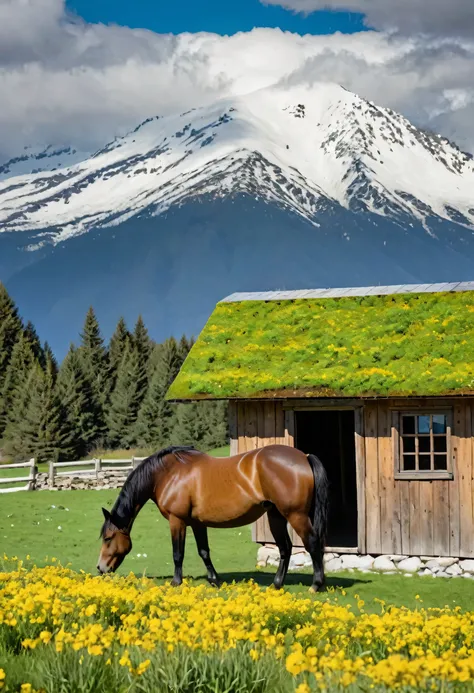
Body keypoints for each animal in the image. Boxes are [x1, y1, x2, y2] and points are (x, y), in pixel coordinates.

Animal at [98, 444, 328, 588]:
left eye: (108, 538)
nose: (100, 568)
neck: (168, 474)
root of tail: (304, 457)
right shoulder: (197, 524)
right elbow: (204, 552)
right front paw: (214, 580)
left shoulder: (177, 521)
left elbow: (177, 553)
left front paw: (176, 582)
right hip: (276, 515)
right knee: (285, 548)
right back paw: (277, 584)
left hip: (296, 515)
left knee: (312, 543)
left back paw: (316, 585)